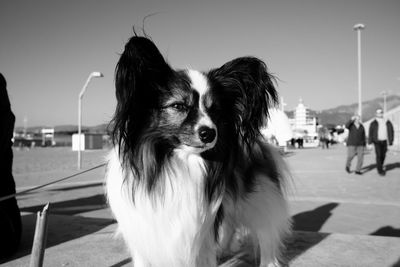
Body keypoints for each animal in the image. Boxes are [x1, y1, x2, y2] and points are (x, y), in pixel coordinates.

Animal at [106, 35, 290, 267]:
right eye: (178, 106)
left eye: (214, 110)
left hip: (259, 199)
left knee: (266, 232)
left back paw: (268, 260)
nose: (209, 133)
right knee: (231, 223)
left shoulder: (197, 234)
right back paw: (223, 250)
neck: (173, 163)